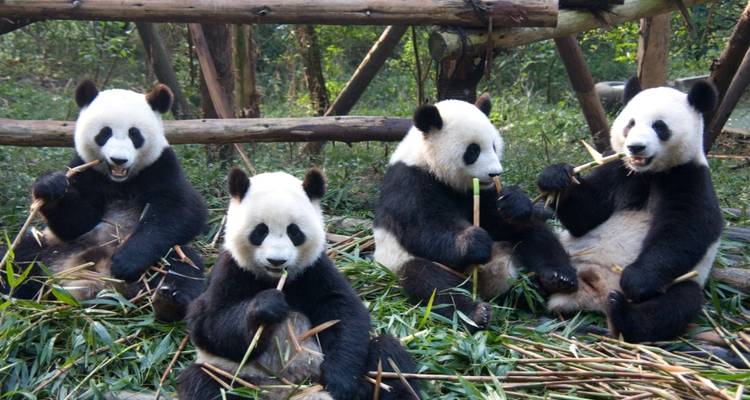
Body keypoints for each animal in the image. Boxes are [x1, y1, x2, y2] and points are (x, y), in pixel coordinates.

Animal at [1, 80, 207, 322]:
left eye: (134, 134)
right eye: (104, 133)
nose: (119, 160)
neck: (119, 181)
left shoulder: (161, 166)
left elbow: (181, 210)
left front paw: (126, 261)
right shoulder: (84, 170)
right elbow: (77, 223)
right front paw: (51, 186)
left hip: (162, 260)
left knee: (182, 264)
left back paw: (169, 301)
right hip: (51, 248)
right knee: (17, 259)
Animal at [178, 168, 419, 400]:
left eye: (294, 231)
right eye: (260, 231)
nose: (277, 261)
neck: (275, 279)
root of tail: (289, 390)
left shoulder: (314, 269)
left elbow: (343, 310)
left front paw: (339, 381)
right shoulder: (232, 270)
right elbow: (209, 323)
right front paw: (268, 306)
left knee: (388, 357)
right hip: (239, 377)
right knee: (204, 381)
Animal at [373, 95, 578, 331]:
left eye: (494, 146)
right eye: (473, 150)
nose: (495, 173)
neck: (428, 161)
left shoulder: (480, 193)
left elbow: (498, 220)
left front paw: (515, 203)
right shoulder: (409, 182)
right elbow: (423, 228)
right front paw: (475, 242)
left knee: (536, 235)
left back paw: (558, 278)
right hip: (401, 262)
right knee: (429, 281)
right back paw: (476, 312)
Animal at [538, 78, 723, 342]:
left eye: (659, 126)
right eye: (630, 124)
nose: (635, 147)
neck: (649, 173)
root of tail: (592, 295)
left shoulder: (689, 177)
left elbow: (685, 231)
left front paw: (636, 279)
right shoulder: (619, 170)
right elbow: (586, 216)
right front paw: (556, 177)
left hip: (680, 282)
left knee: (676, 304)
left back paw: (621, 312)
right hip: (573, 256)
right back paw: (554, 278)